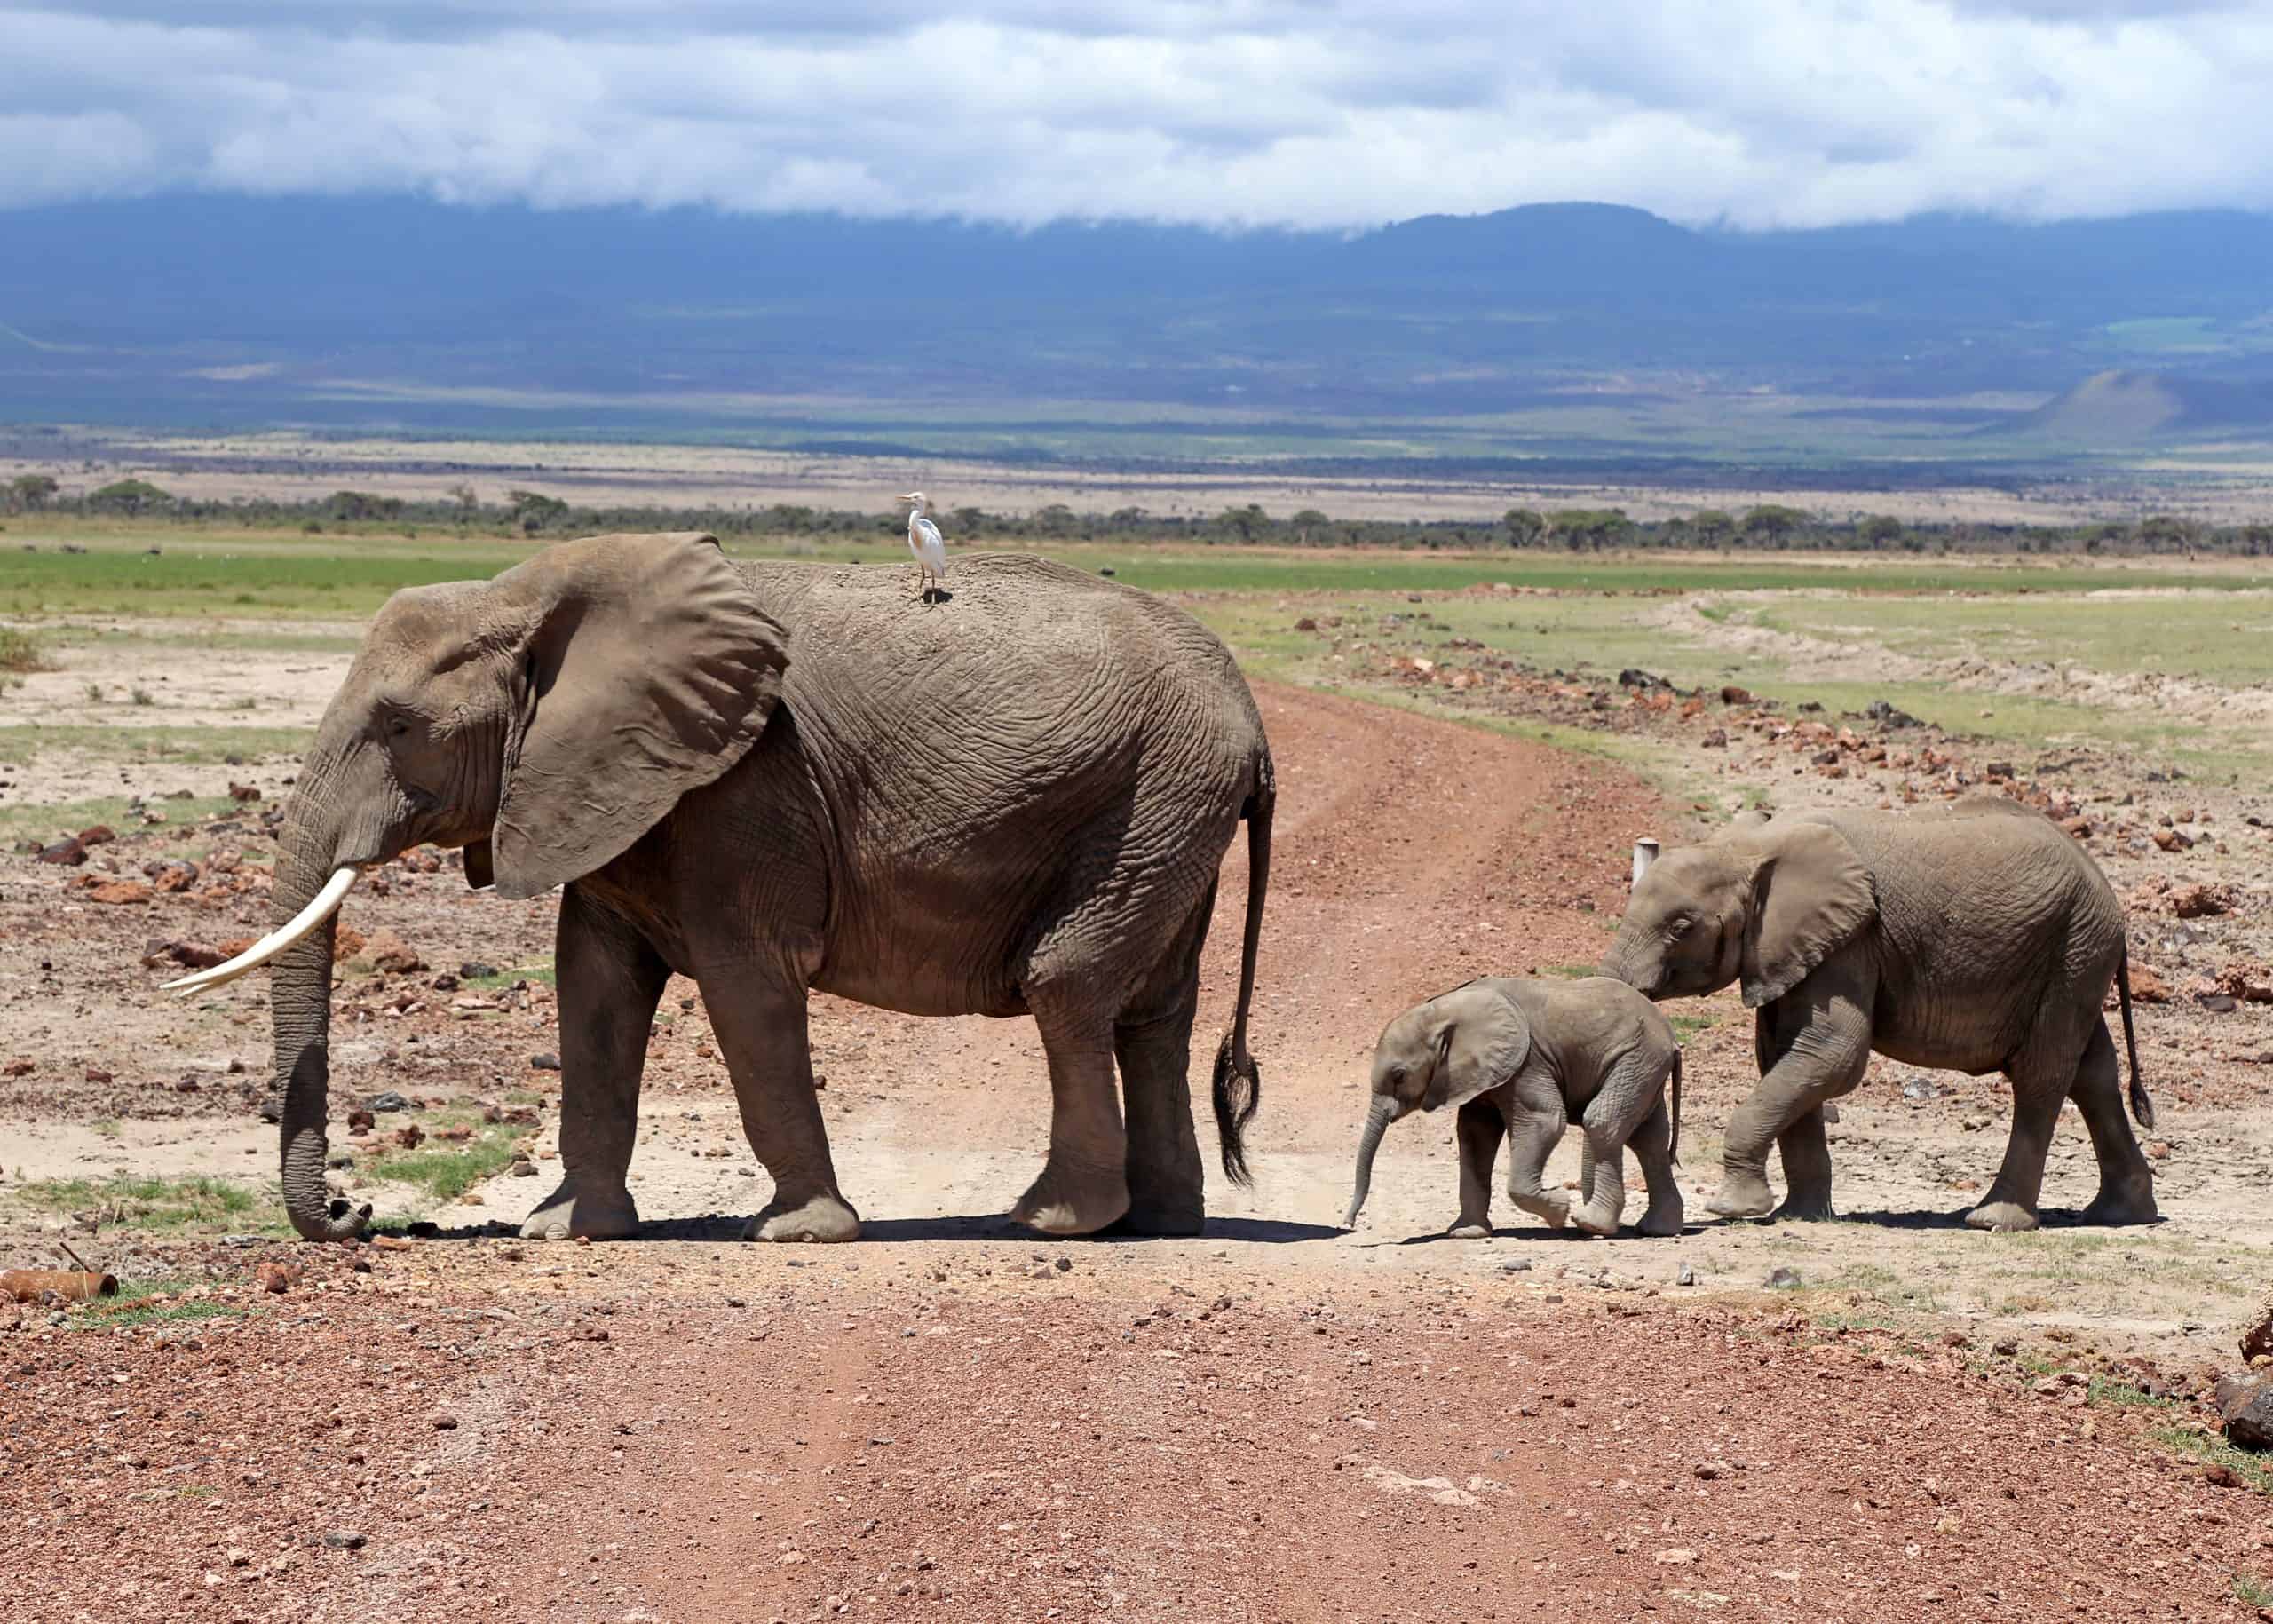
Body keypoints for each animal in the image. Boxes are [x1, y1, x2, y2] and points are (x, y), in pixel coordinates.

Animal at [168, 533, 1275, 1244]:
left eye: (398, 725)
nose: (354, 1212)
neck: (529, 600)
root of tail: (1253, 723)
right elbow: (593, 988)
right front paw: (570, 1231)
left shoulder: (744, 784)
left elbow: (748, 985)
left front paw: (796, 1234)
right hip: (1169, 809)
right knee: (1152, 1011)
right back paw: (1160, 1221)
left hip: (1150, 796)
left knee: (1068, 986)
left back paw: (1053, 1221)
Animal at [1341, 977, 1684, 1239]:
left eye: (1399, 1075)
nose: (1348, 1223)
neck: (1443, 1009)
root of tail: (1670, 1034)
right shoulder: (1481, 1073)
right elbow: (1474, 1135)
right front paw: (1466, 1234)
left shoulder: (1528, 1062)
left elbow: (1545, 1121)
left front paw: (1560, 1209)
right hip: (1643, 1066)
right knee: (1648, 1140)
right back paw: (1658, 1230)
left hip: (1638, 1057)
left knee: (1604, 1122)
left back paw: (1592, 1224)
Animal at [1602, 798, 2155, 1233]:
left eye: (1680, 928)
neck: (1748, 846)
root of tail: (2103, 882)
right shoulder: (1794, 948)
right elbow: (1783, 1056)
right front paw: (1798, 1216)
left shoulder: (1853, 939)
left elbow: (1833, 1055)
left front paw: (1734, 1209)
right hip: (2076, 955)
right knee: (2093, 1074)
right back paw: (2119, 1215)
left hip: (2074, 948)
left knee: (2042, 1075)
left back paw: (1995, 1220)